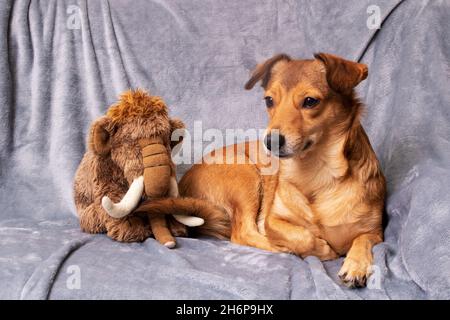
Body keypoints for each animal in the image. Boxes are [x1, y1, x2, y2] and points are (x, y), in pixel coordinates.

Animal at [179, 52, 386, 288]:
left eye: (310, 101)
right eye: (269, 101)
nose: (270, 142)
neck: (316, 171)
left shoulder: (376, 232)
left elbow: (362, 239)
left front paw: (356, 265)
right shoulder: (273, 220)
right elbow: (302, 236)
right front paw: (319, 249)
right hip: (245, 175)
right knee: (243, 232)